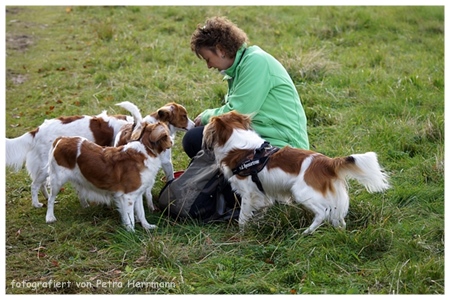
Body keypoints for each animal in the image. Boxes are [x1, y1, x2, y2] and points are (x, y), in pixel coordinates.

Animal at [202, 110, 388, 234]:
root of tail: (326, 162)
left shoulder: (248, 194)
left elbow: (242, 216)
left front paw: (242, 233)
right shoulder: (263, 195)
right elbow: (259, 213)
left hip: (301, 193)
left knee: (322, 213)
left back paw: (307, 232)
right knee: (337, 217)